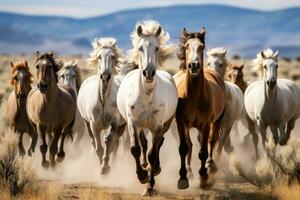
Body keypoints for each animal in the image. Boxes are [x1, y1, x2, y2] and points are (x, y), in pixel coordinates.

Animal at [77, 37, 126, 175]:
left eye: (113, 56)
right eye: (99, 56)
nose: (105, 76)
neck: (103, 98)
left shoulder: (114, 122)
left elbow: (108, 141)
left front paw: (105, 167)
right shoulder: (94, 124)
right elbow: (98, 146)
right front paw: (101, 166)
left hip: (122, 125)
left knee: (116, 143)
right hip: (87, 123)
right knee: (93, 141)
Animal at [116, 21, 178, 196]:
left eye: (157, 48)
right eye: (140, 48)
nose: (148, 73)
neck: (147, 96)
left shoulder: (157, 125)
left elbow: (152, 154)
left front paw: (150, 186)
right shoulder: (133, 122)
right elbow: (135, 149)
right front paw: (142, 176)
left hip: (165, 124)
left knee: (158, 145)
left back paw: (156, 168)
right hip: (142, 126)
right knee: (143, 143)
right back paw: (145, 166)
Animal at [173, 27, 225, 189]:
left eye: (202, 46)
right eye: (186, 46)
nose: (194, 65)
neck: (194, 96)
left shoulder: (206, 124)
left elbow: (203, 151)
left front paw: (203, 176)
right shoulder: (181, 122)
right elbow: (183, 148)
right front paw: (183, 178)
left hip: (217, 121)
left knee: (211, 141)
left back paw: (210, 166)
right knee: (190, 145)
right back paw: (190, 171)